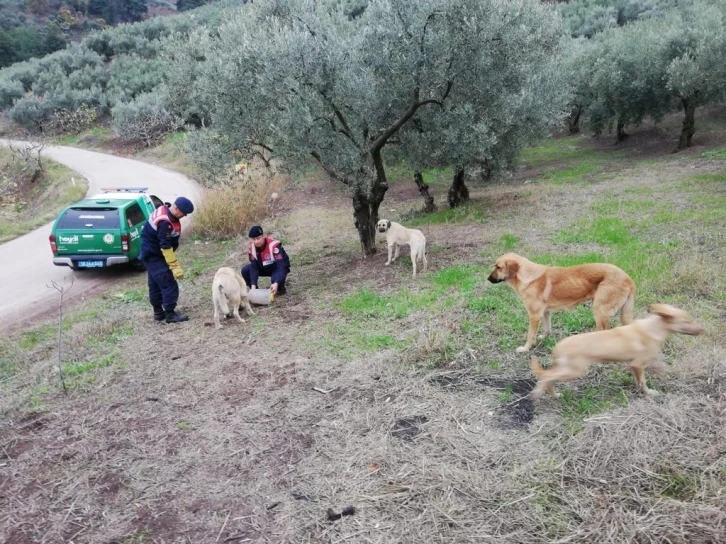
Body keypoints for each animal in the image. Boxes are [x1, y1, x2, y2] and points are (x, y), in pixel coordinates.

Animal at [490, 252, 636, 352]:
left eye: (498, 267)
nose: (488, 278)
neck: (528, 276)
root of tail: (628, 278)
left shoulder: (534, 315)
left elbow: (530, 335)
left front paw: (526, 348)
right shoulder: (545, 313)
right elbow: (547, 329)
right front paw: (544, 338)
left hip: (599, 311)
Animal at [528, 302, 704, 400]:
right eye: (687, 321)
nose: (703, 330)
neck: (653, 327)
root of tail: (557, 348)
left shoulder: (636, 365)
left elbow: (646, 375)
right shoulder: (637, 365)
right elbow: (643, 382)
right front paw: (649, 393)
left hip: (567, 369)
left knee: (548, 378)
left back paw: (554, 395)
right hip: (575, 370)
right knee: (546, 377)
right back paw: (538, 393)